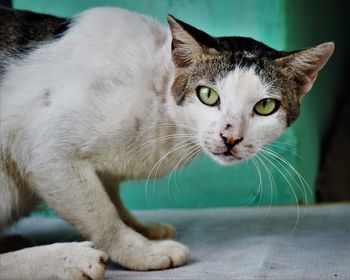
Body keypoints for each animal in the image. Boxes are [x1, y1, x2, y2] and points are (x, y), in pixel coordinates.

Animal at [0, 6, 334, 280]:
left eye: (265, 106)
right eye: (208, 95)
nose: (230, 137)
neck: (160, 99)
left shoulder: (99, 170)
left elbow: (111, 200)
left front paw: (143, 231)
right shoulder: (45, 150)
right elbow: (102, 216)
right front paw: (140, 251)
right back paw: (68, 259)